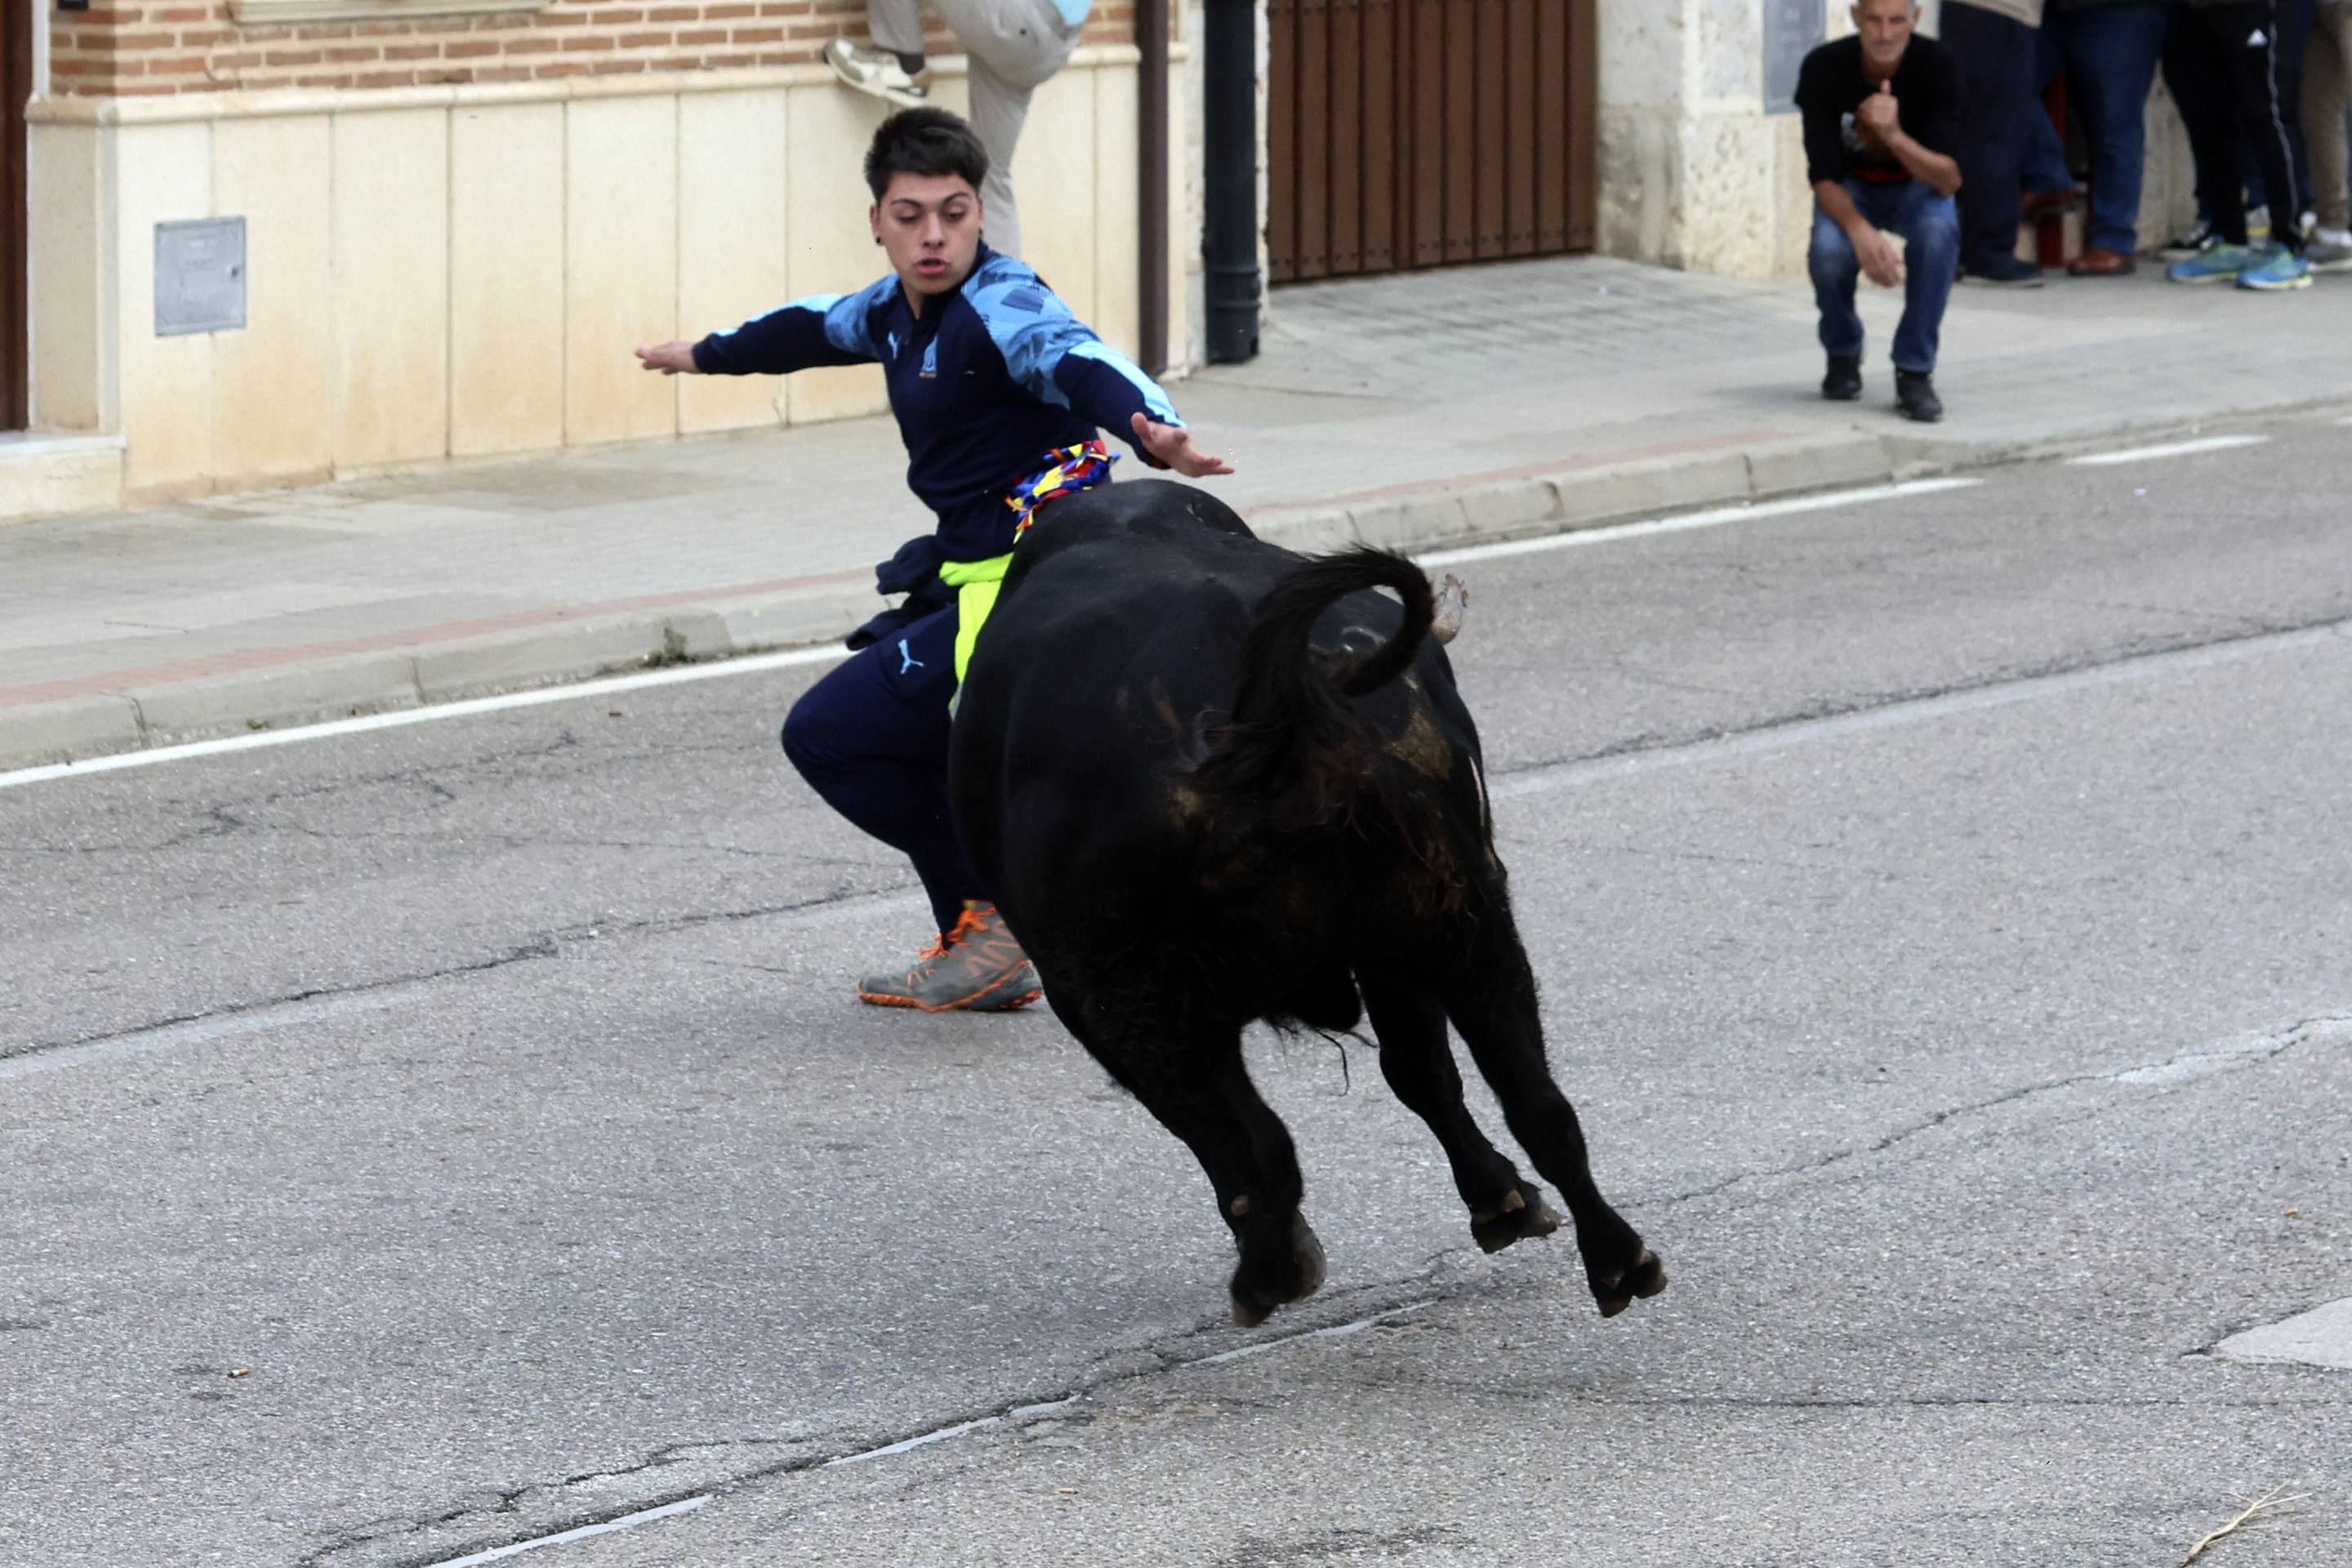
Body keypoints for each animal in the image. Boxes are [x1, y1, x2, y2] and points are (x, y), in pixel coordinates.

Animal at [945, 479, 1665, 1325]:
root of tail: (1279, 711)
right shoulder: (1393, 947)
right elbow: (1422, 1071)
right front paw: (1505, 1203)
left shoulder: (1100, 996)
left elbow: (1236, 1137)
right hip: (1463, 922)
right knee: (1535, 1100)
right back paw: (1616, 1260)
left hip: (1128, 1000)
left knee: (1250, 1138)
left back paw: (1270, 1273)